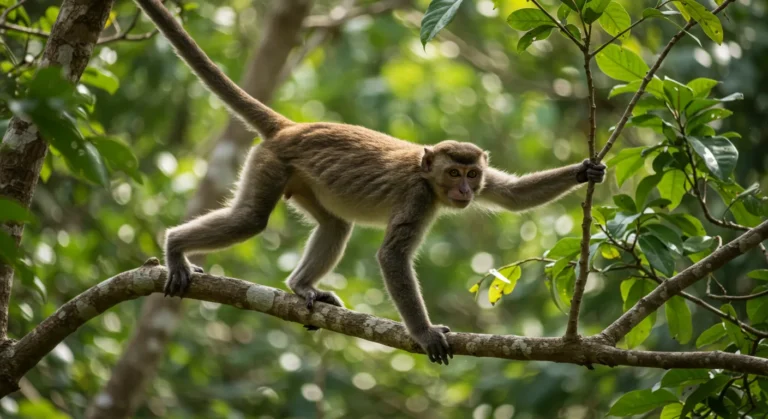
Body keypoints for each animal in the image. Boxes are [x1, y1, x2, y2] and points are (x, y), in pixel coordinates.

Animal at [134, 0, 608, 368]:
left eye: (472, 174)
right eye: (453, 173)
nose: (465, 191)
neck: (427, 176)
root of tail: (292, 127)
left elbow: (511, 196)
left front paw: (585, 171)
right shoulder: (418, 197)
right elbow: (392, 256)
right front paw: (424, 333)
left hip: (302, 181)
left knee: (334, 225)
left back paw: (300, 286)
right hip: (270, 163)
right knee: (251, 218)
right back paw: (175, 248)